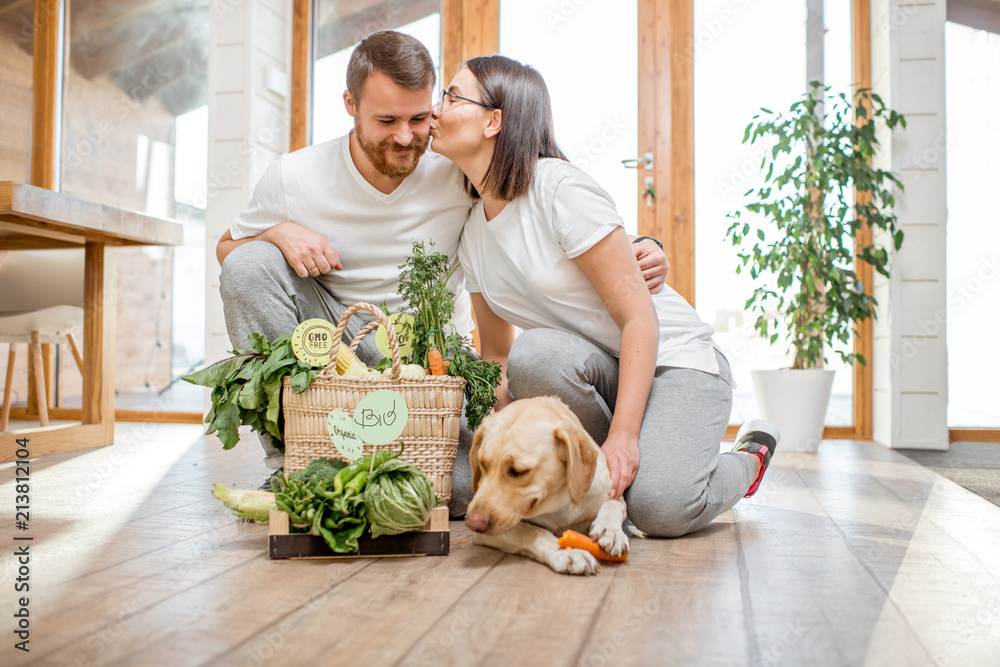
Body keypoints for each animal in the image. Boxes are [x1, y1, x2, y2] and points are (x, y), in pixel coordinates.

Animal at [464, 396, 628, 576]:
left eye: (518, 471)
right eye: (482, 464)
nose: (472, 523)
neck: (559, 503)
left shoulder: (614, 495)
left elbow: (612, 504)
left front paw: (610, 530)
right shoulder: (490, 532)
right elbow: (534, 532)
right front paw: (567, 553)